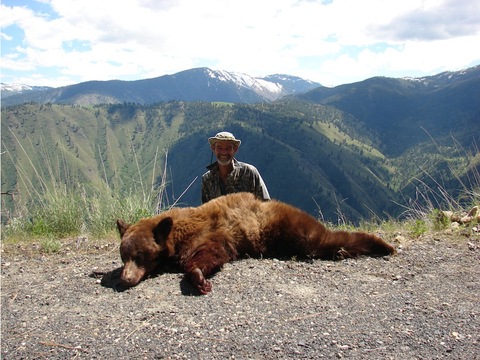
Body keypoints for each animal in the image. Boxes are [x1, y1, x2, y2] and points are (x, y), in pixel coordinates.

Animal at [116, 193, 394, 294]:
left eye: (139, 255)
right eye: (124, 256)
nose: (125, 279)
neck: (178, 232)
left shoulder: (211, 232)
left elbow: (209, 253)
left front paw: (199, 277)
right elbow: (214, 254)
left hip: (286, 225)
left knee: (321, 239)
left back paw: (382, 245)